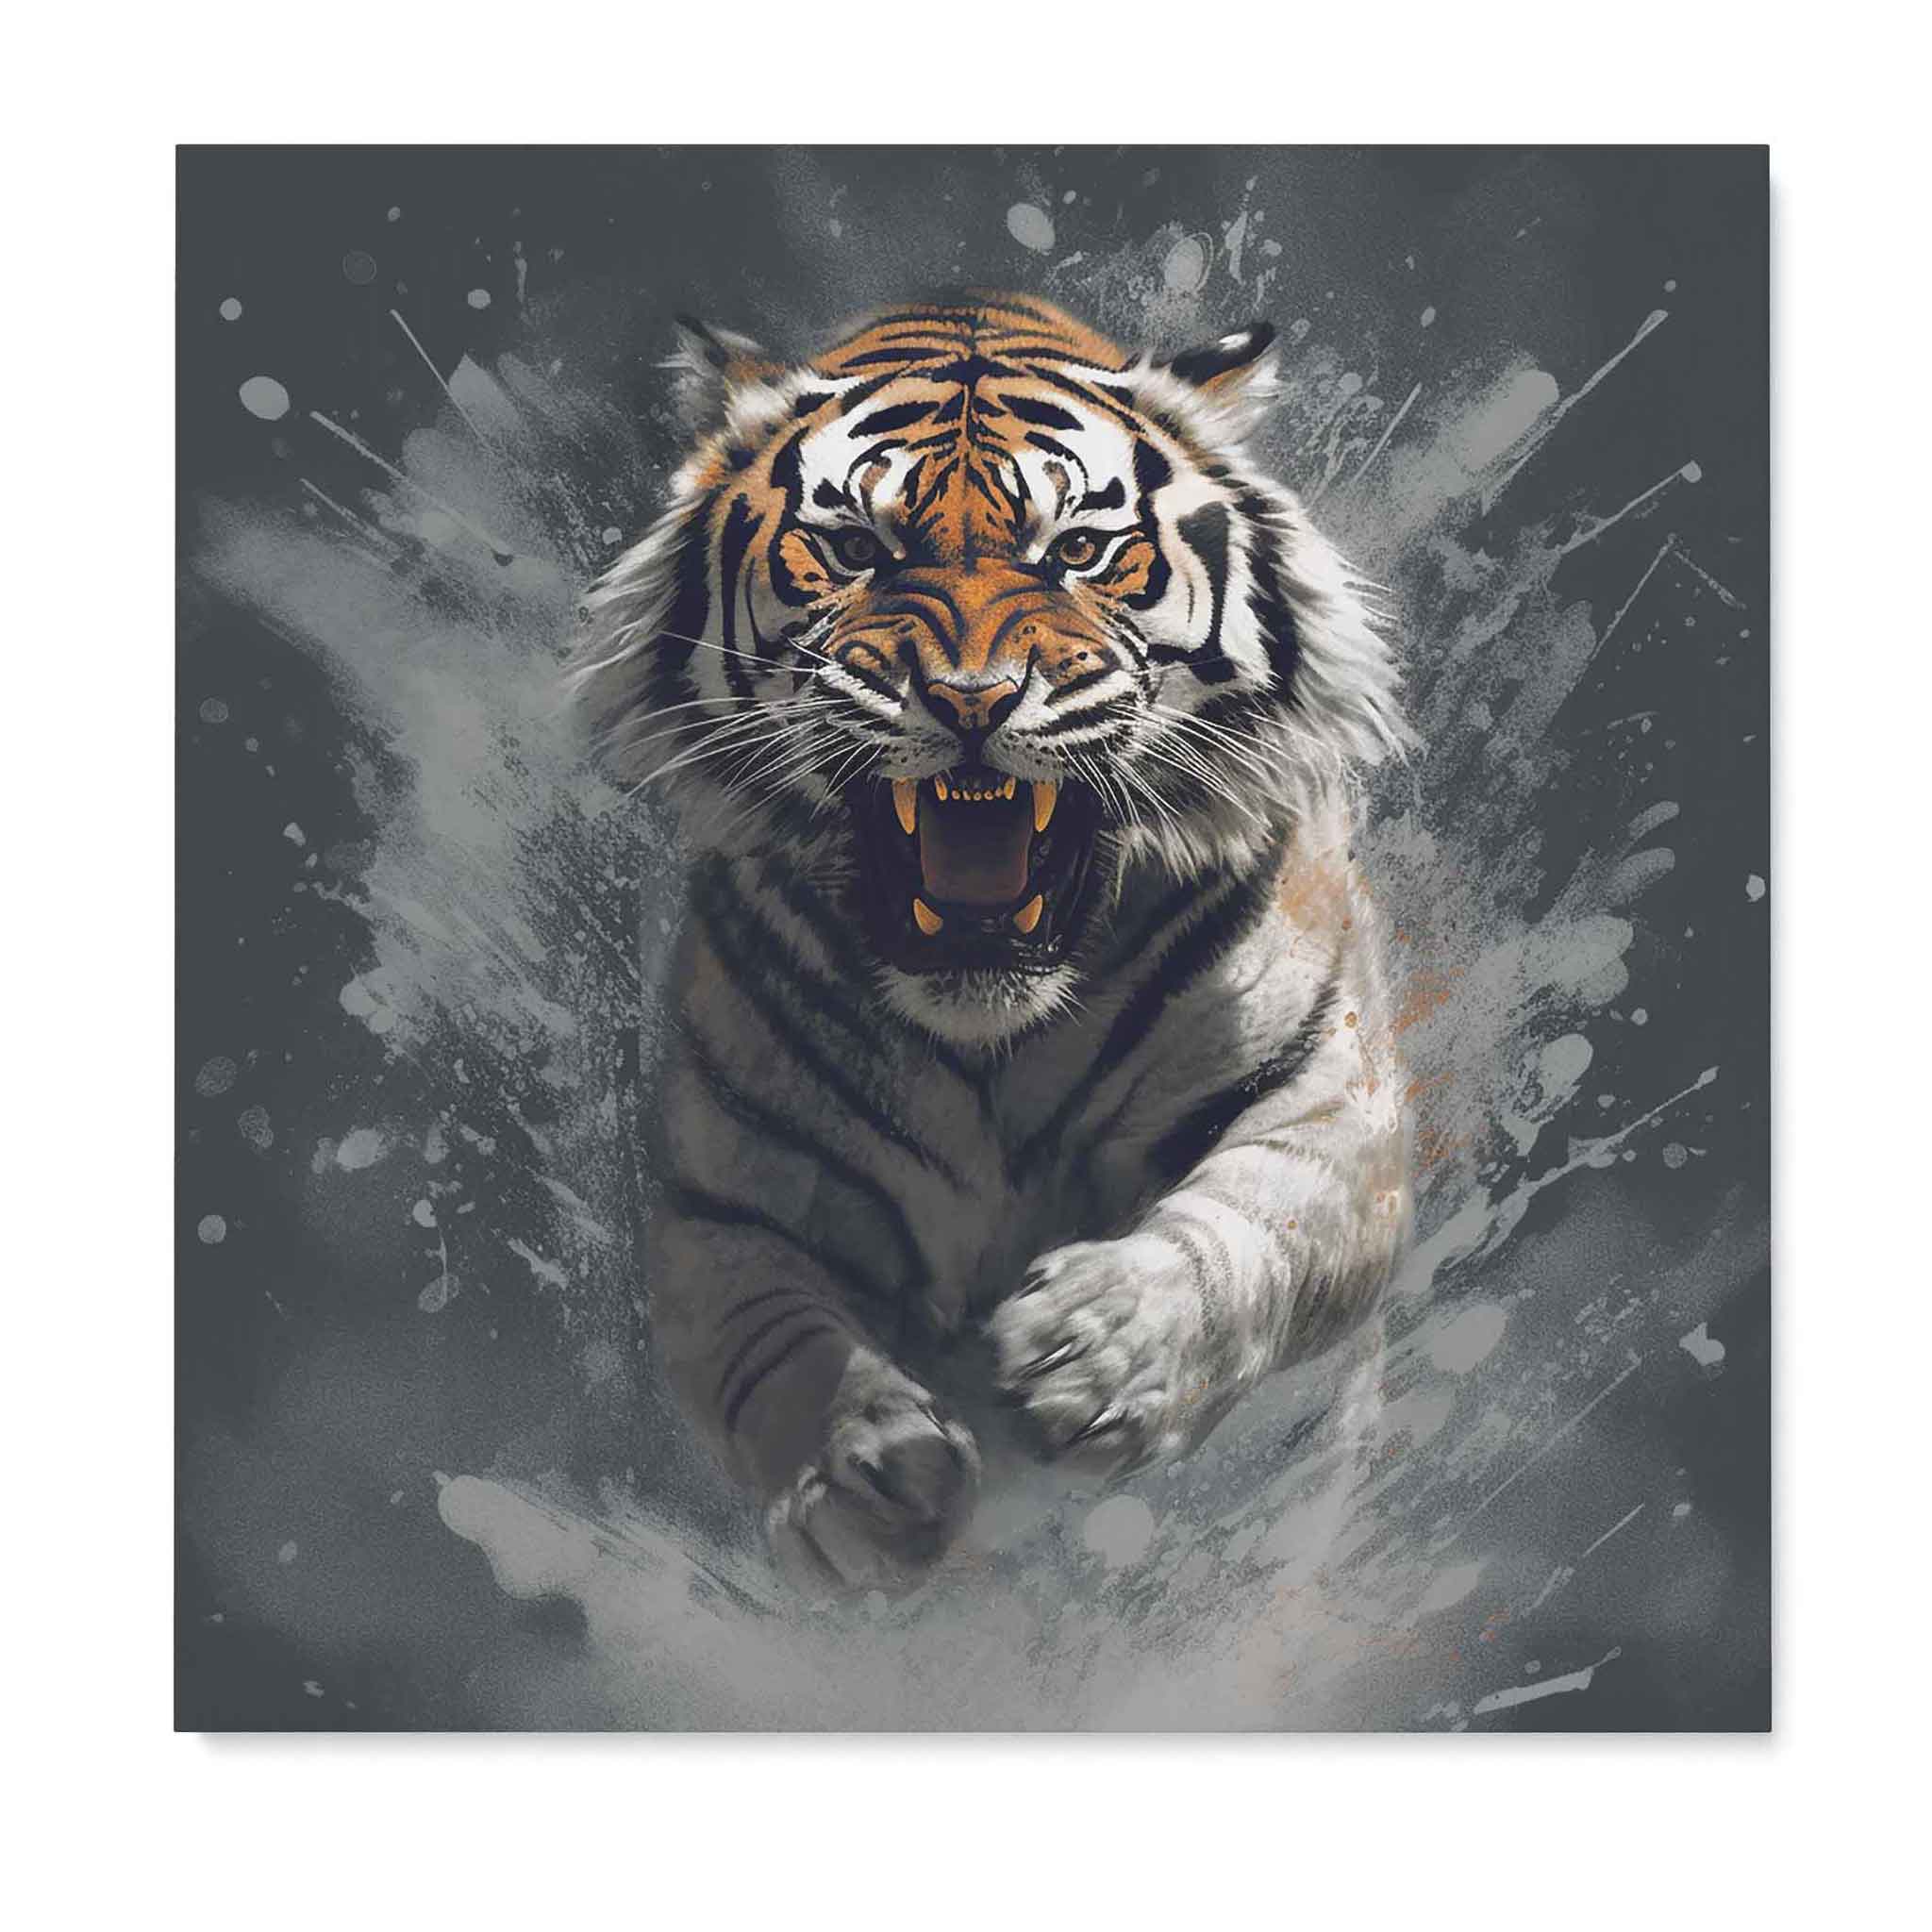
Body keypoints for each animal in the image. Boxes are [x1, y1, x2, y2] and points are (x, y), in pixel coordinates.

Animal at [568, 291, 1413, 1595]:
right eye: (856, 549)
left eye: (1076, 550)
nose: (969, 697)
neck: (991, 1035)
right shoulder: (721, 1205)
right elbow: (769, 1343)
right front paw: (859, 1465)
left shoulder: (1333, 1097)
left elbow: (1253, 1218)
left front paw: (1094, 1347)